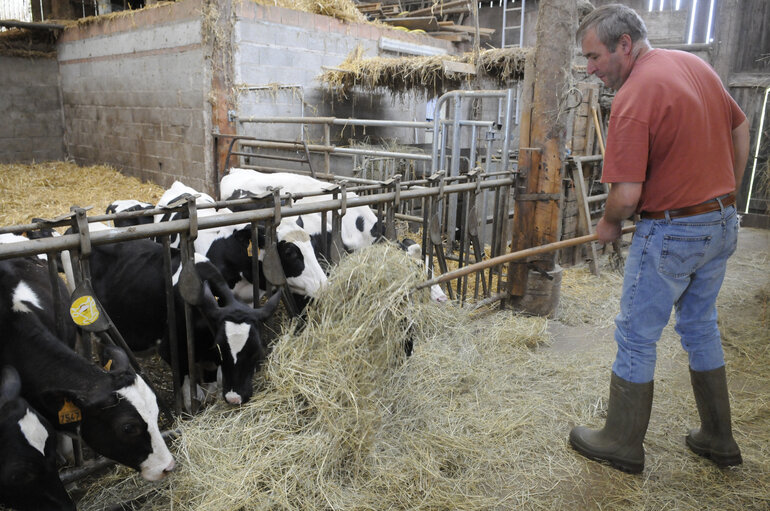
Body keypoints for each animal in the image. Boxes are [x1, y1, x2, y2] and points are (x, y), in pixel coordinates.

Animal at [85, 237, 282, 408]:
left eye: (256, 351)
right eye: (221, 350)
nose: (235, 398)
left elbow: (211, 388)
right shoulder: (171, 351)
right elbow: (190, 396)